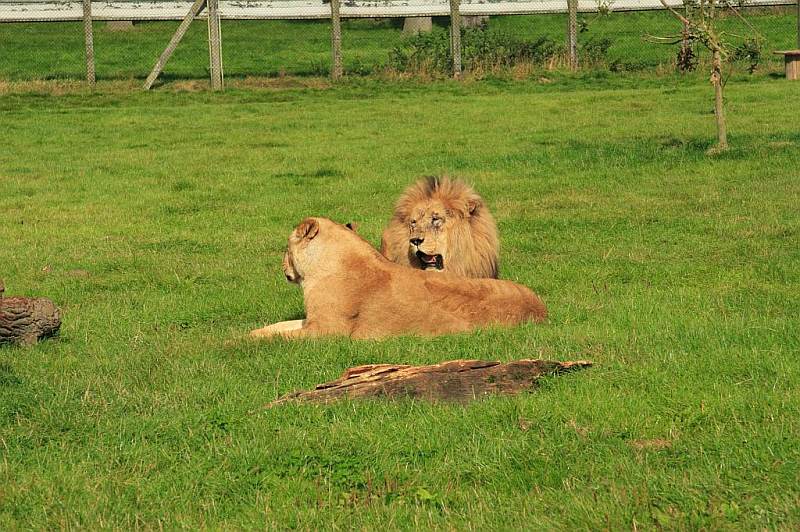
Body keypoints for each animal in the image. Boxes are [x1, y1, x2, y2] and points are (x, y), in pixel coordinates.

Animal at [250, 217, 548, 338]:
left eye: (286, 247)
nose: (282, 265)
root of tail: (541, 311)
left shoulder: (326, 331)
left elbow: (279, 338)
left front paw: (242, 342)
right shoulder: (311, 321)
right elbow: (278, 327)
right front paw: (252, 331)